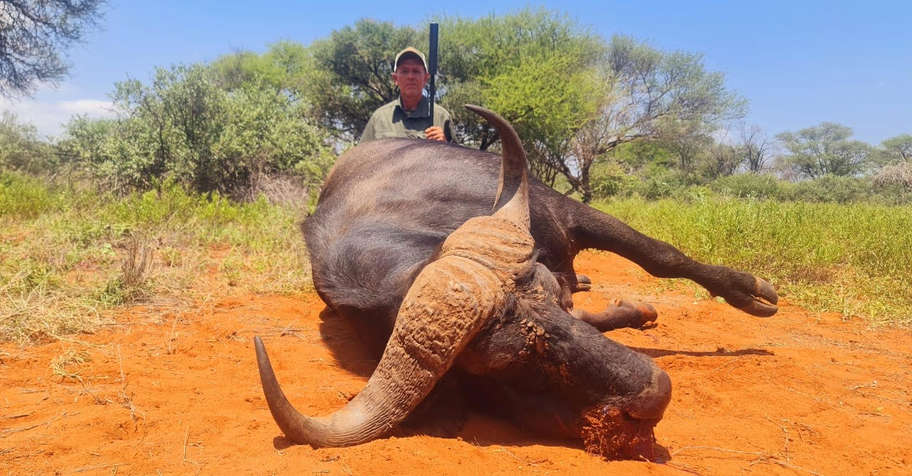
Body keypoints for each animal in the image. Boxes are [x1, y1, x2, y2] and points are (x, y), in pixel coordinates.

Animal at [254, 105, 778, 459]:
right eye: (514, 361)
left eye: (553, 303)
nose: (656, 393)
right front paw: (632, 310)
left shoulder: (570, 213)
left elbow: (660, 255)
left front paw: (751, 291)